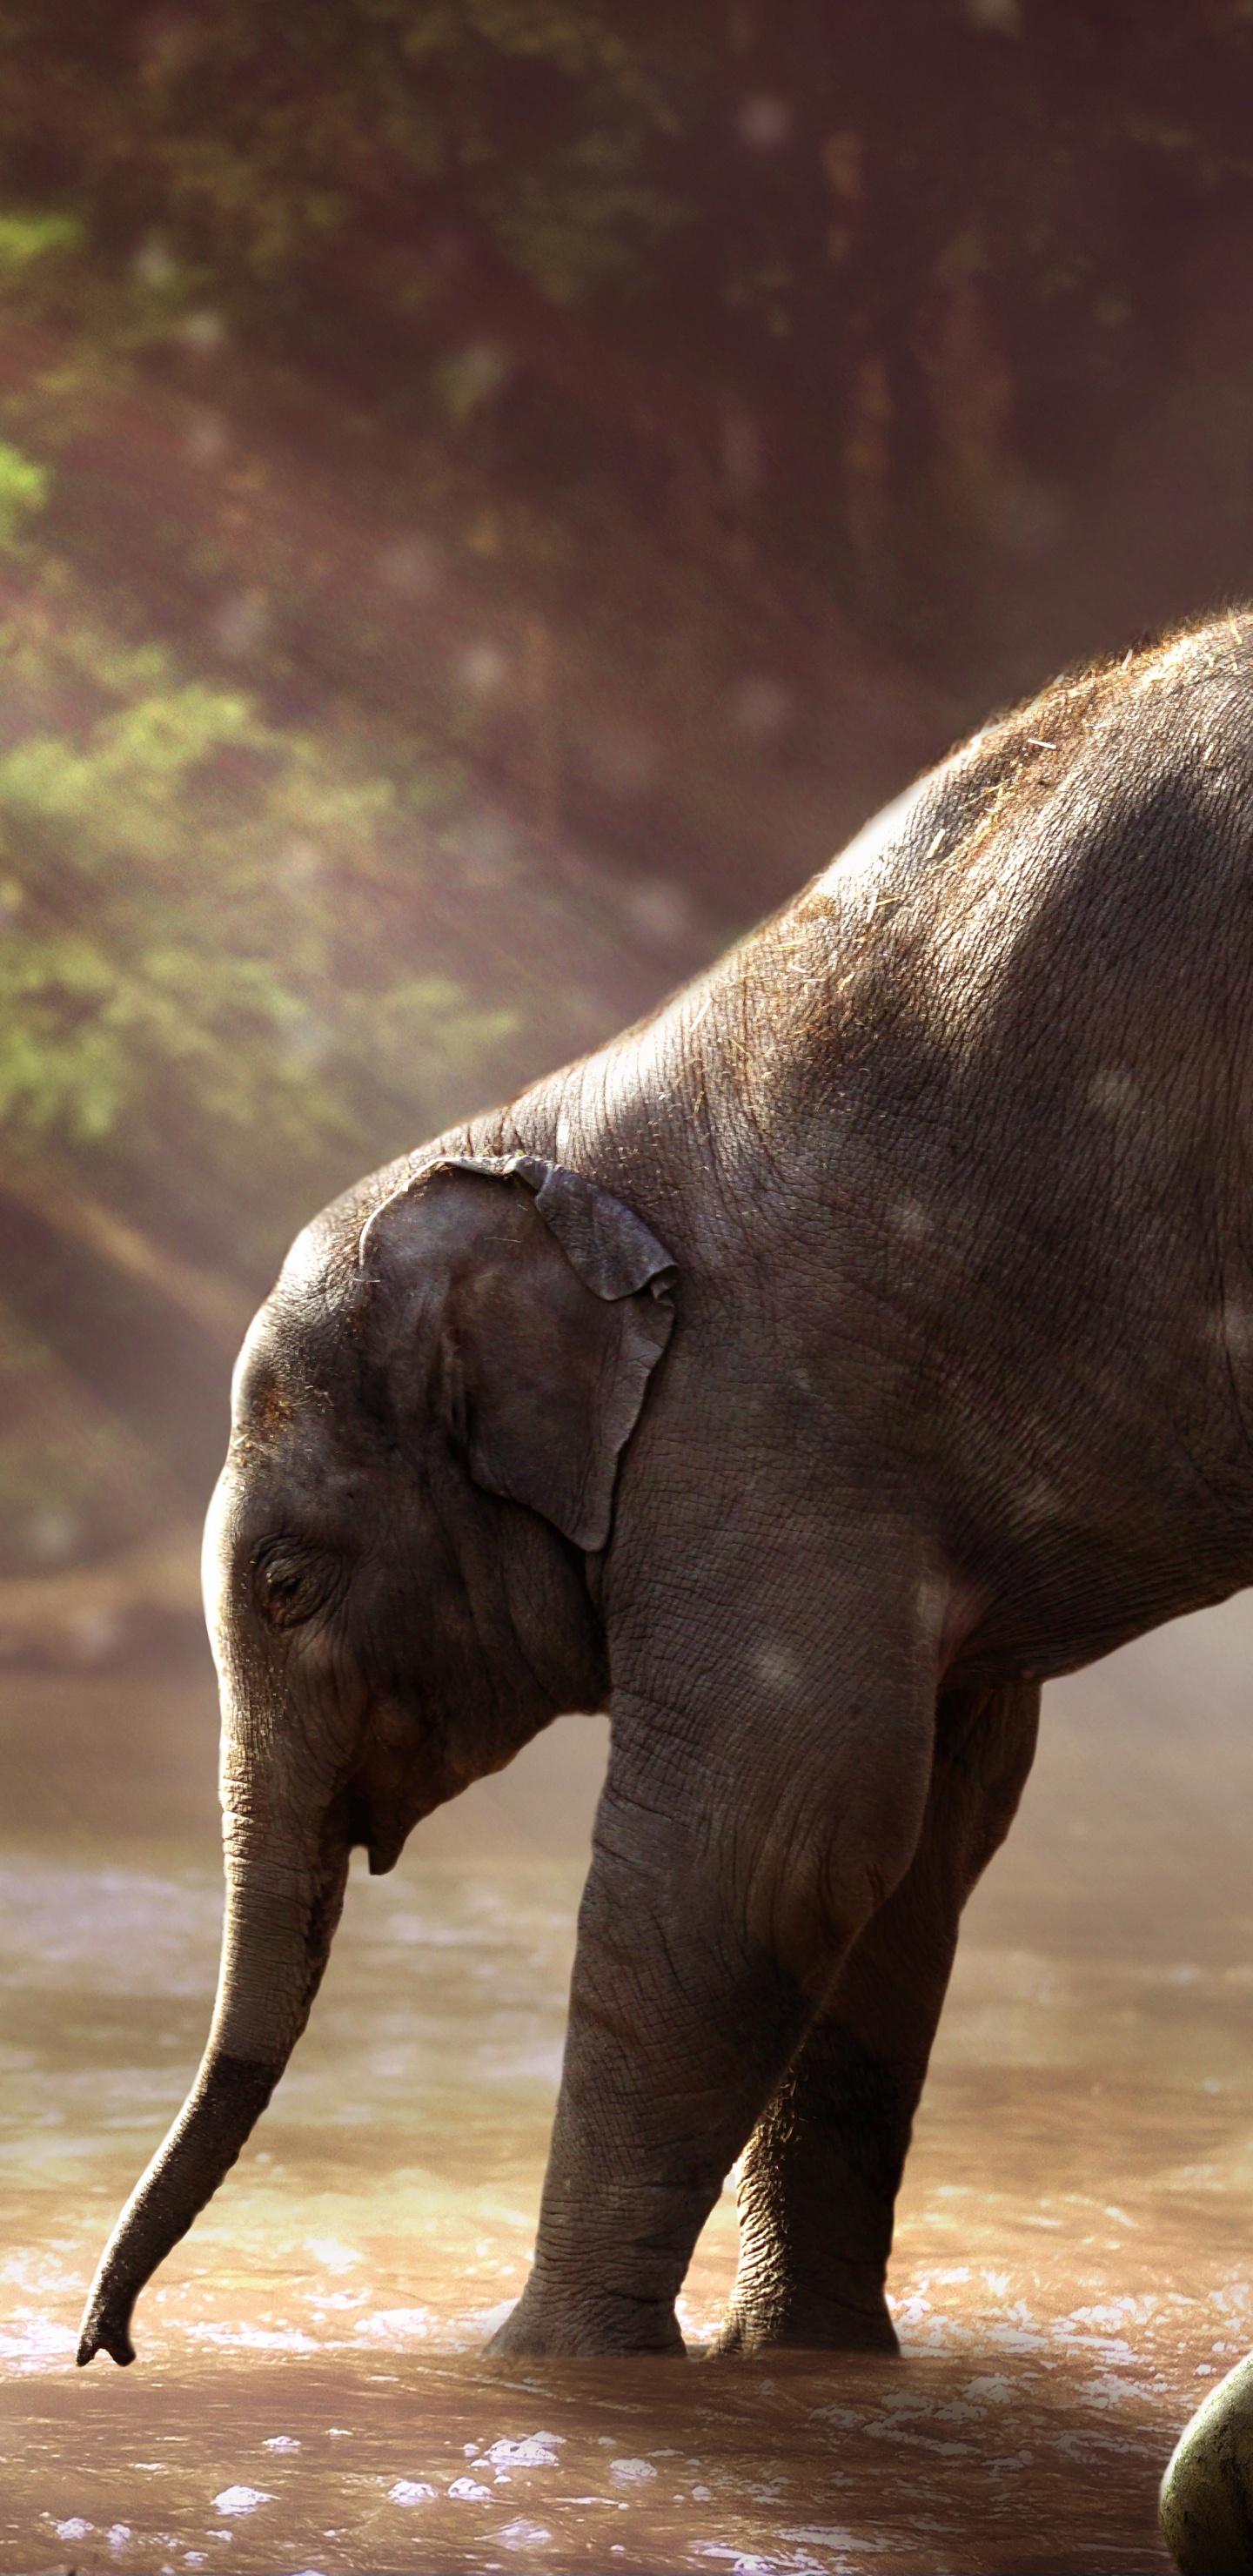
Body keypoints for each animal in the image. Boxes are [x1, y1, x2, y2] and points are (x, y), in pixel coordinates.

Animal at [75, 614, 1253, 2454]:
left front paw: (540, 2370)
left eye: (284, 1584)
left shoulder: (773, 1429)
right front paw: (806, 2369)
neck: (550, 1138)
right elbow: (912, 1851)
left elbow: (763, 1843)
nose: (106, 2348)